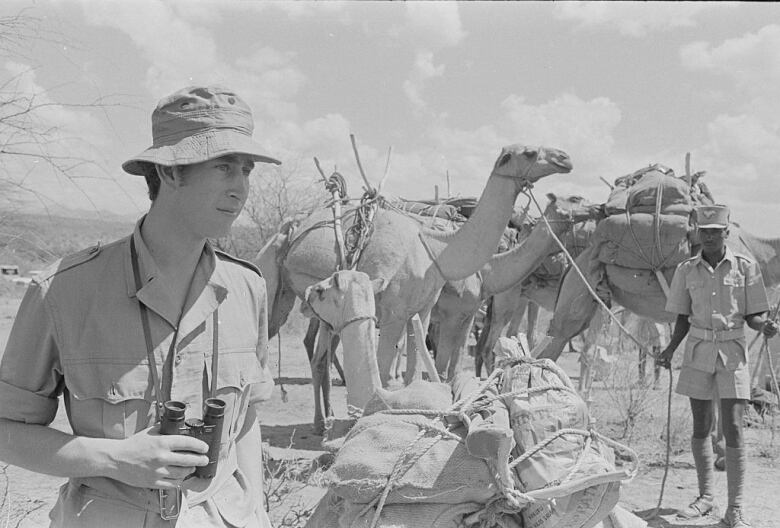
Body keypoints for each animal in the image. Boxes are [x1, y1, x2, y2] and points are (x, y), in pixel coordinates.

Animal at [256, 142, 572, 432]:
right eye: (529, 152)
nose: (565, 158)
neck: (436, 250)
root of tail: (289, 227)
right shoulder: (399, 314)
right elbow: (391, 371)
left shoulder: (422, 311)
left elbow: (416, 371)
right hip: (270, 281)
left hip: (321, 312)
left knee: (319, 357)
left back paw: (323, 422)